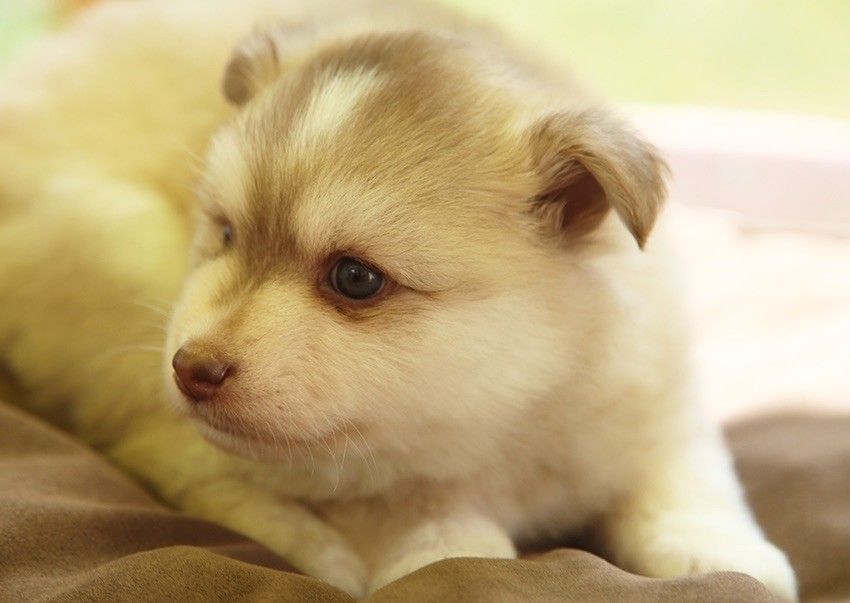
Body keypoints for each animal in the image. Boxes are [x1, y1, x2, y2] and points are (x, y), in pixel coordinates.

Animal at [0, 0, 796, 600]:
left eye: (356, 278)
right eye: (226, 233)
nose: (191, 370)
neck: (510, 415)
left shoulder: (658, 404)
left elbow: (686, 479)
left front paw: (719, 553)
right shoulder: (371, 475)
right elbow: (443, 531)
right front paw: (438, 549)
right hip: (120, 262)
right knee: (171, 457)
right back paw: (314, 548)